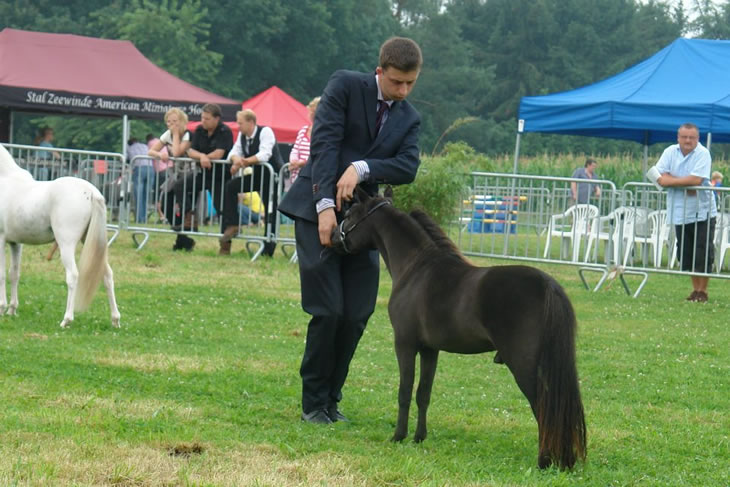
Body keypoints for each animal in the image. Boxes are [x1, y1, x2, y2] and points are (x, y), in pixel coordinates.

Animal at [0, 144, 119, 328]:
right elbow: (14, 273)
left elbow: (2, 275)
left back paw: (66, 320)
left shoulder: (1, 240)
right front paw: (12, 310)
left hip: (66, 244)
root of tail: (91, 192)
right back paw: (115, 320)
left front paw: (2, 308)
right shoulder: (15, 243)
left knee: (73, 276)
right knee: (107, 275)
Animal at [330, 189, 584, 470]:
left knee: (542, 407)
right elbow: (423, 393)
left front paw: (398, 436)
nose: (332, 236)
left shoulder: (405, 345)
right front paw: (419, 437)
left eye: (351, 214)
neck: (416, 269)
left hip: (525, 365)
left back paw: (545, 460)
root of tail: (548, 285)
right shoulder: (430, 350)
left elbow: (405, 391)